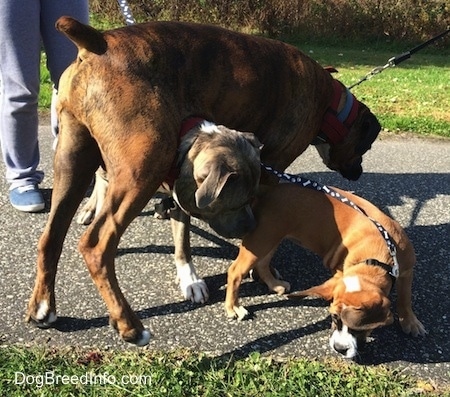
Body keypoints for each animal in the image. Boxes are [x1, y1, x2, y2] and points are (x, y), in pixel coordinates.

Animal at [27, 17, 380, 342]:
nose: (359, 172)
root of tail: (98, 42)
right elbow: (261, 245)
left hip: (72, 162)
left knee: (51, 237)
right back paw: (128, 324)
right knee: (96, 246)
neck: (330, 103)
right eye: (366, 146)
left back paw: (43, 307)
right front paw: (261, 273)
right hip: (142, 170)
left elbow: (182, 230)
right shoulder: (271, 173)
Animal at [227, 183, 428, 358]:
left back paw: (274, 284)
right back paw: (233, 307)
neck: (375, 257)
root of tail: (267, 190)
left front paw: (410, 321)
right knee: (235, 271)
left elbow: (405, 298)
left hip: (270, 239)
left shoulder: (407, 271)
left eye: (358, 328)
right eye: (334, 317)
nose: (339, 349)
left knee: (262, 264)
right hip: (261, 239)